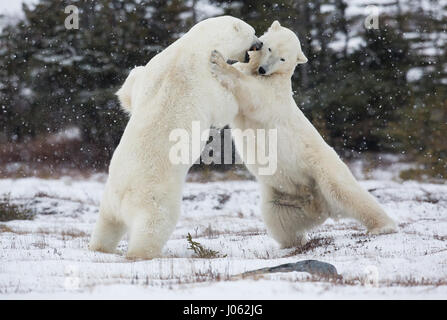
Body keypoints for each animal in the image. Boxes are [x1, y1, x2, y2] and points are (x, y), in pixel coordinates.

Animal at [88, 16, 262, 258]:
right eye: (252, 32)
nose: (260, 44)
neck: (193, 45)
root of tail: (123, 201)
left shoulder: (156, 66)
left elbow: (131, 89)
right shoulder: (204, 81)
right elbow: (224, 106)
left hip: (108, 197)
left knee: (106, 224)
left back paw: (98, 247)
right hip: (155, 199)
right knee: (153, 226)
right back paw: (142, 253)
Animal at [212, 21, 398, 249]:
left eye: (283, 59)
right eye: (269, 48)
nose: (264, 69)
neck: (270, 75)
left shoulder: (273, 94)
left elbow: (254, 95)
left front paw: (219, 62)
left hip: (321, 167)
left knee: (346, 192)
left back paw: (383, 226)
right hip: (282, 190)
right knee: (278, 214)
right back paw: (293, 238)